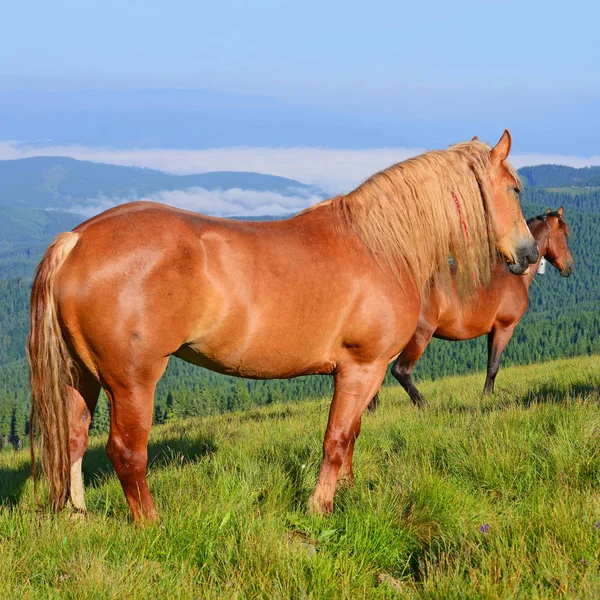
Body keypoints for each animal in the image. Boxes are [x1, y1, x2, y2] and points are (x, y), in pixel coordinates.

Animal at [27, 131, 540, 520]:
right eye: (514, 189)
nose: (531, 253)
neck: (380, 246)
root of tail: (77, 240)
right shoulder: (363, 366)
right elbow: (336, 439)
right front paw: (319, 507)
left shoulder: (360, 372)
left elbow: (352, 434)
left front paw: (346, 492)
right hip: (133, 382)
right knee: (127, 452)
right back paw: (153, 525)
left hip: (81, 376)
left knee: (73, 439)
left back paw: (77, 517)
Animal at [368, 207, 576, 412]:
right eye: (564, 234)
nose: (570, 267)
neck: (509, 274)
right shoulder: (504, 328)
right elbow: (493, 366)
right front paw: (486, 397)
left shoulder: (492, 331)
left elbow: (490, 364)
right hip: (420, 335)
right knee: (400, 371)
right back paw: (424, 405)